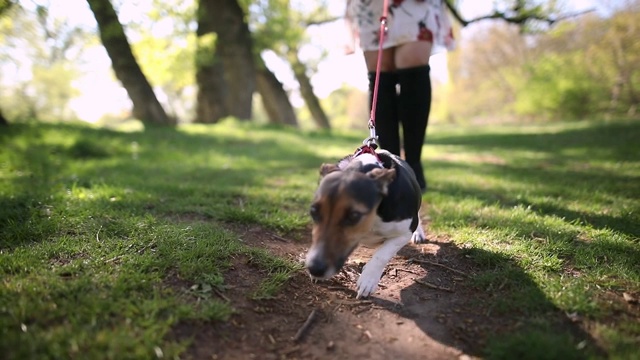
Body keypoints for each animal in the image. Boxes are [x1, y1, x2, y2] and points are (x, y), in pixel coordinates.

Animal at [304, 149, 424, 298]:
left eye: (354, 216)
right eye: (313, 211)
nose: (314, 268)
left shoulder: (405, 232)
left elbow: (381, 255)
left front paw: (368, 280)